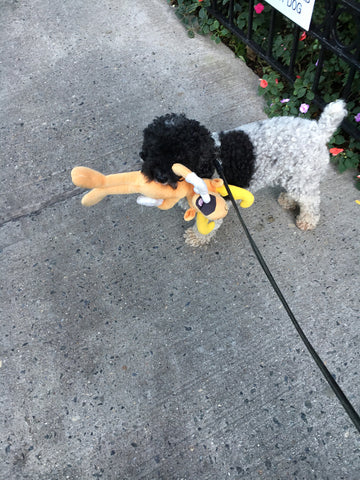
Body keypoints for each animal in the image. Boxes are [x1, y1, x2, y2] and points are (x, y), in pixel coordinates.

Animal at [140, 100, 346, 246]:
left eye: (181, 156)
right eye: (153, 149)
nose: (160, 176)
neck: (209, 161)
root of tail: (319, 129)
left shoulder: (213, 205)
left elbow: (207, 227)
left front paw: (197, 237)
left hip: (303, 180)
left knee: (311, 201)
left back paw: (307, 220)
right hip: (295, 177)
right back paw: (287, 200)